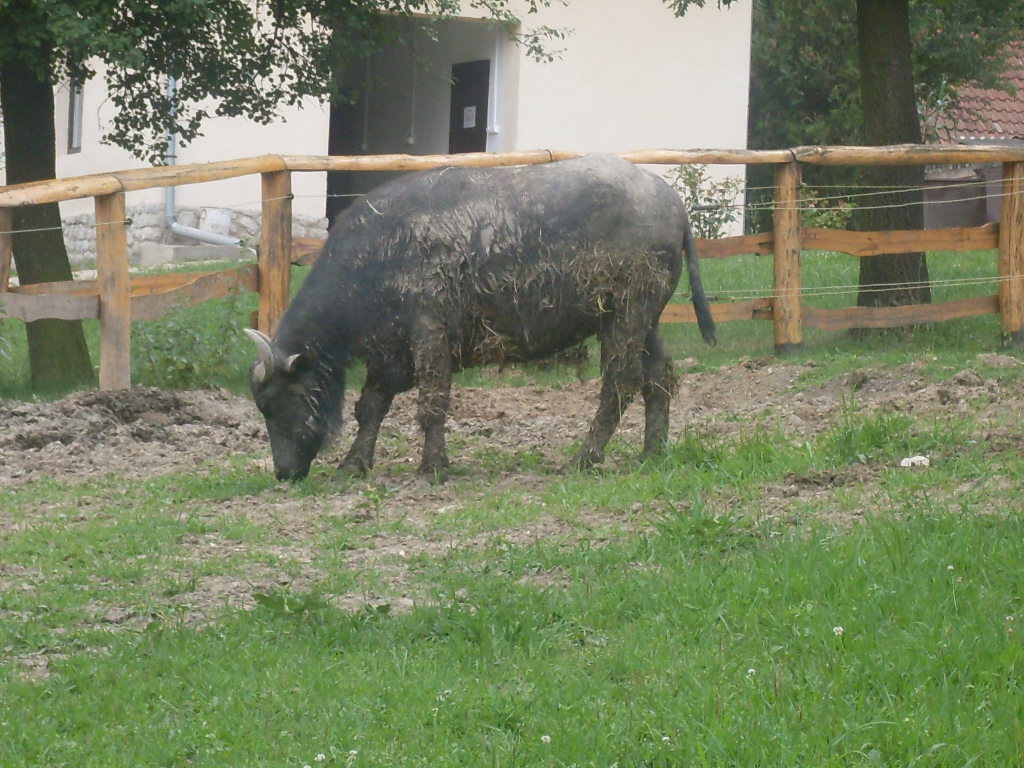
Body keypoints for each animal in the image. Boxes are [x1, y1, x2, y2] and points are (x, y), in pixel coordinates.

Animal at [246, 154, 715, 481]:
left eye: (271, 404)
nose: (284, 473)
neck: (376, 254)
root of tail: (671, 202)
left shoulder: (428, 336)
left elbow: (432, 403)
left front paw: (433, 467)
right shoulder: (388, 351)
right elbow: (371, 407)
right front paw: (353, 465)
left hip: (626, 316)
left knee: (620, 383)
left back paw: (586, 457)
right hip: (644, 320)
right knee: (659, 377)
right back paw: (651, 453)